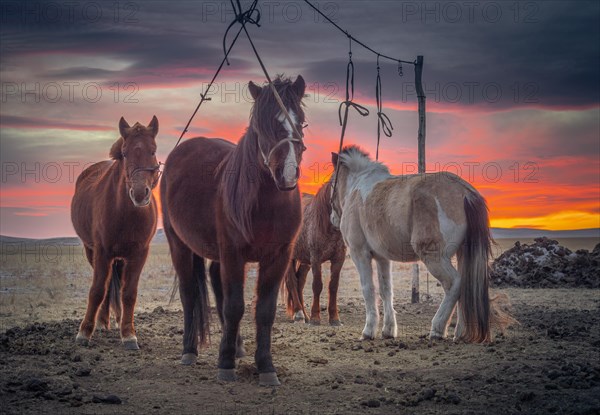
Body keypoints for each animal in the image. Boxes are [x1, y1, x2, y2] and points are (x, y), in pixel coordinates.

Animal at [72, 117, 161, 352]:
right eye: (124, 152)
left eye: (153, 150)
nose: (139, 194)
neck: (125, 213)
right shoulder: (102, 252)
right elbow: (97, 290)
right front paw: (84, 332)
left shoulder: (138, 254)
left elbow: (128, 293)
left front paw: (128, 334)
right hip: (92, 251)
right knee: (105, 287)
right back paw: (102, 322)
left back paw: (119, 320)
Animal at [161, 74, 304, 386]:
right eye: (262, 125)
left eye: (300, 121)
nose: (287, 174)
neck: (266, 203)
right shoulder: (233, 254)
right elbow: (234, 305)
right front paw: (225, 364)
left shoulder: (278, 257)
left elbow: (264, 310)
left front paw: (265, 366)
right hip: (180, 245)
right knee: (190, 295)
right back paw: (190, 350)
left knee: (216, 284)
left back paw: (236, 346)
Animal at [286, 184, 346, 326]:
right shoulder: (316, 259)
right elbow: (317, 285)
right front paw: (315, 318)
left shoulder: (338, 259)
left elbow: (333, 286)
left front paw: (334, 319)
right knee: (291, 281)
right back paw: (298, 314)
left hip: (304, 261)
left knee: (299, 282)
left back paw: (305, 316)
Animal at [328, 148, 510, 342]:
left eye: (332, 183)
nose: (332, 218)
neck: (358, 187)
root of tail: (465, 192)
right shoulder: (382, 257)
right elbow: (386, 290)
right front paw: (388, 330)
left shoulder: (359, 253)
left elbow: (368, 289)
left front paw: (369, 331)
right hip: (462, 253)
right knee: (466, 286)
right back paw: (460, 333)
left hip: (434, 257)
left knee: (454, 283)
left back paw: (437, 328)